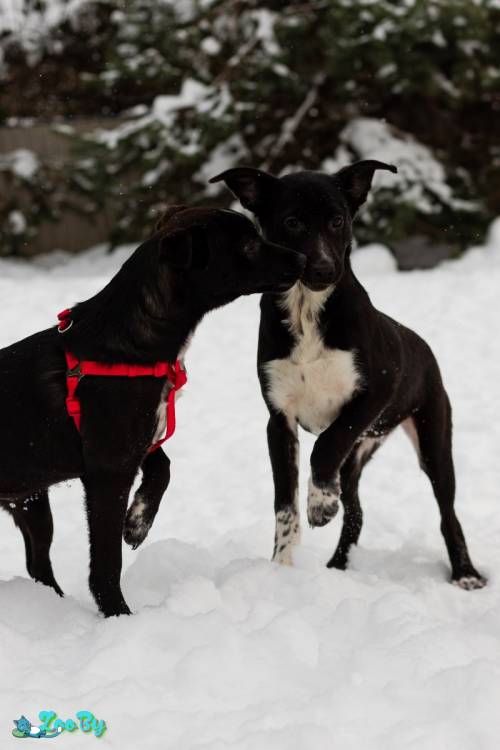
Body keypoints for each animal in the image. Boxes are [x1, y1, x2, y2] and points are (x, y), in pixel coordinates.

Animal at [0, 206, 305, 616]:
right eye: (247, 243)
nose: (302, 259)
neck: (130, 342)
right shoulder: (109, 469)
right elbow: (107, 561)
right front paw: (118, 615)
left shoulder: (139, 440)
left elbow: (164, 467)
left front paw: (138, 521)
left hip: (30, 499)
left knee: (38, 565)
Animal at [209, 162, 486, 589]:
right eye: (292, 222)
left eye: (338, 220)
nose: (324, 269)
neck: (307, 309)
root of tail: (424, 346)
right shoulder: (278, 419)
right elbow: (284, 503)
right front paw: (280, 568)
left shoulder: (376, 391)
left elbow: (326, 443)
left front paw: (320, 504)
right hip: (359, 455)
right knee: (356, 512)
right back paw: (338, 564)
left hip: (432, 437)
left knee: (447, 513)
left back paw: (466, 574)